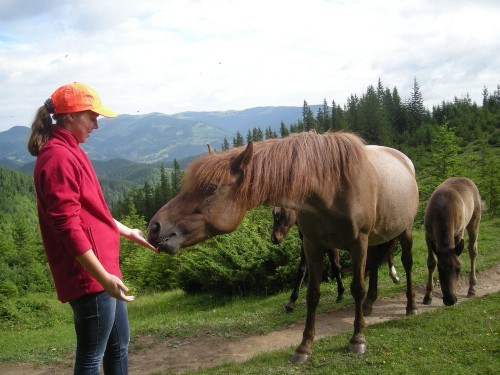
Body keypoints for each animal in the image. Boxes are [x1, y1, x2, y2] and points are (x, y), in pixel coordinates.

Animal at [272, 207, 400, 312]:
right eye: (273, 213)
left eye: (283, 214)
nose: (274, 238)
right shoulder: (307, 242)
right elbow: (302, 269)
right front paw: (291, 301)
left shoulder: (331, 245)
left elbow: (335, 266)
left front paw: (340, 292)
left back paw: (393, 275)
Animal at [422, 178, 480, 306]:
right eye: (440, 269)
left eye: (458, 269)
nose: (450, 299)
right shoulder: (428, 235)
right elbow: (431, 262)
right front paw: (427, 296)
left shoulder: (458, 233)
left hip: (474, 222)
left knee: (472, 250)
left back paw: (472, 288)